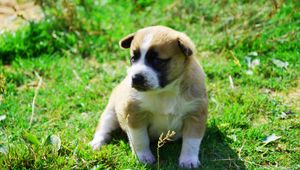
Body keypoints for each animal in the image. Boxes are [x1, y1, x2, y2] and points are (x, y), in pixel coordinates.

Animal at [89, 25, 209, 168]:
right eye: (133, 59)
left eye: (157, 60)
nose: (135, 78)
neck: (165, 91)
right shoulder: (135, 115)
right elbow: (140, 139)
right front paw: (144, 157)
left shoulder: (195, 115)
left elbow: (191, 142)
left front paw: (188, 160)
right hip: (110, 113)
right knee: (103, 128)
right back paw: (97, 143)